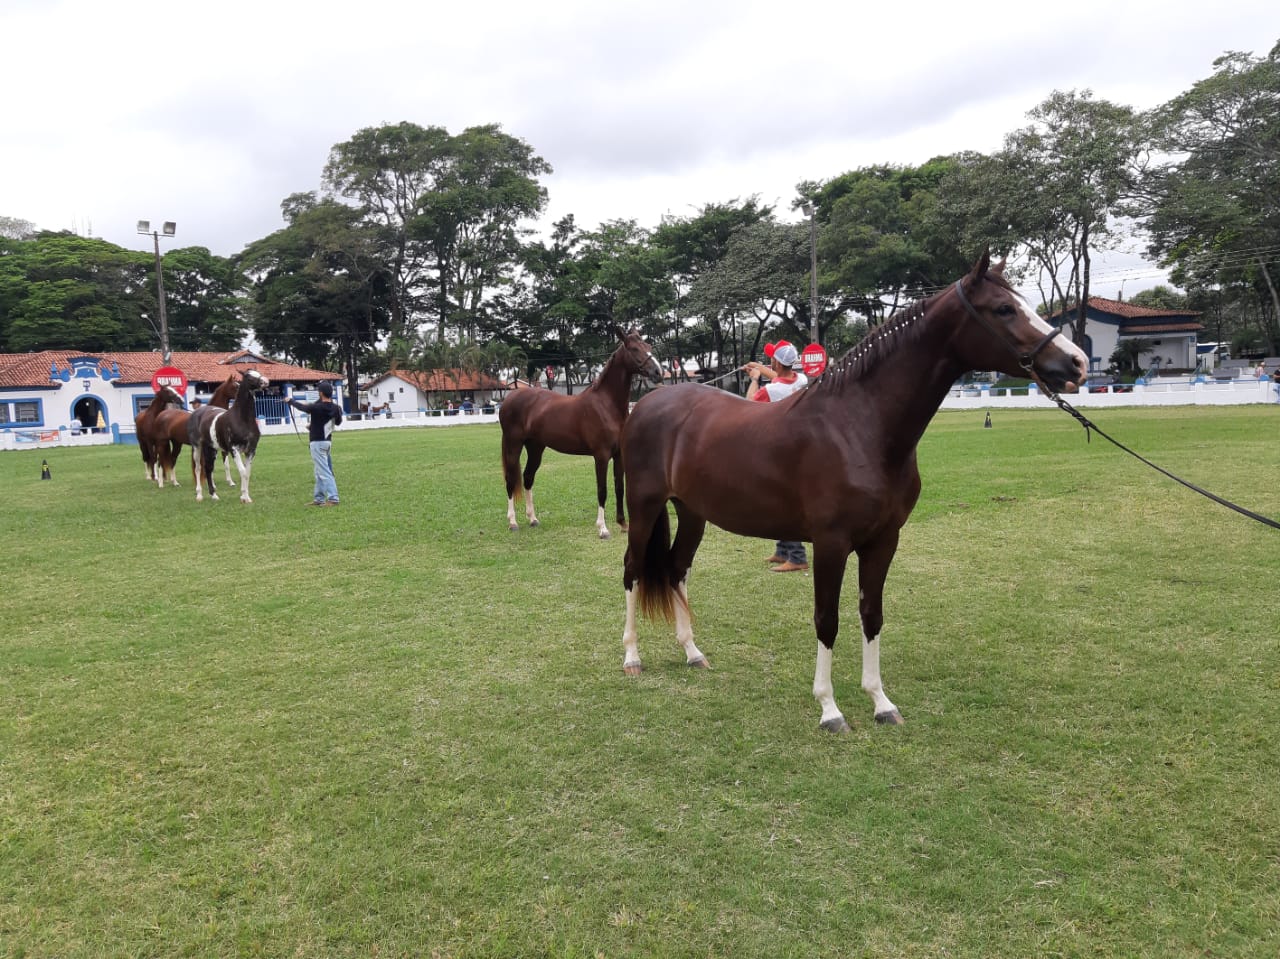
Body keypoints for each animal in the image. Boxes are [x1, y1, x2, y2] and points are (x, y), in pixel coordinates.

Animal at [186, 366, 267, 504]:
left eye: (259, 373)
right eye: (249, 377)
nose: (265, 382)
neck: (242, 419)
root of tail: (197, 412)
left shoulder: (250, 450)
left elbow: (247, 473)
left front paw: (245, 496)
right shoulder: (234, 449)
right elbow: (242, 471)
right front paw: (244, 497)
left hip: (211, 449)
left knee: (208, 469)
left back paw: (213, 494)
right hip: (197, 448)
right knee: (198, 468)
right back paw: (200, 495)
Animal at [496, 327, 665, 537]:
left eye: (648, 346)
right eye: (634, 349)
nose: (658, 372)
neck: (606, 405)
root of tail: (510, 399)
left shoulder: (619, 455)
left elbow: (619, 488)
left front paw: (623, 524)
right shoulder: (601, 456)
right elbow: (602, 490)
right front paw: (603, 528)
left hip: (535, 448)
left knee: (528, 477)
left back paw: (533, 519)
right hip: (513, 445)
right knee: (511, 479)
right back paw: (513, 522)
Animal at [619, 254, 1090, 732]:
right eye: (1004, 309)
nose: (1077, 363)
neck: (858, 426)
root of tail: (648, 403)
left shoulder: (883, 541)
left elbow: (871, 615)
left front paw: (881, 702)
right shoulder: (831, 543)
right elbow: (827, 620)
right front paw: (830, 709)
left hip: (693, 513)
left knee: (675, 569)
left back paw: (693, 652)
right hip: (643, 508)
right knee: (633, 569)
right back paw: (632, 657)